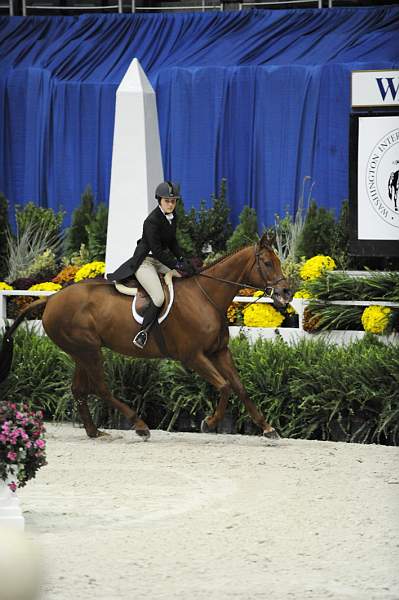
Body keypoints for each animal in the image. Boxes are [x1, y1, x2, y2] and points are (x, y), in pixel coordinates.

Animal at [0, 234, 290, 440]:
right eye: (267, 263)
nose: (286, 293)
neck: (206, 296)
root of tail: (51, 299)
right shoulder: (193, 356)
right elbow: (224, 386)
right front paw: (209, 423)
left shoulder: (219, 352)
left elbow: (239, 387)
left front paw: (268, 428)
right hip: (89, 351)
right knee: (100, 388)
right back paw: (139, 425)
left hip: (82, 352)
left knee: (80, 390)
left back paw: (95, 432)